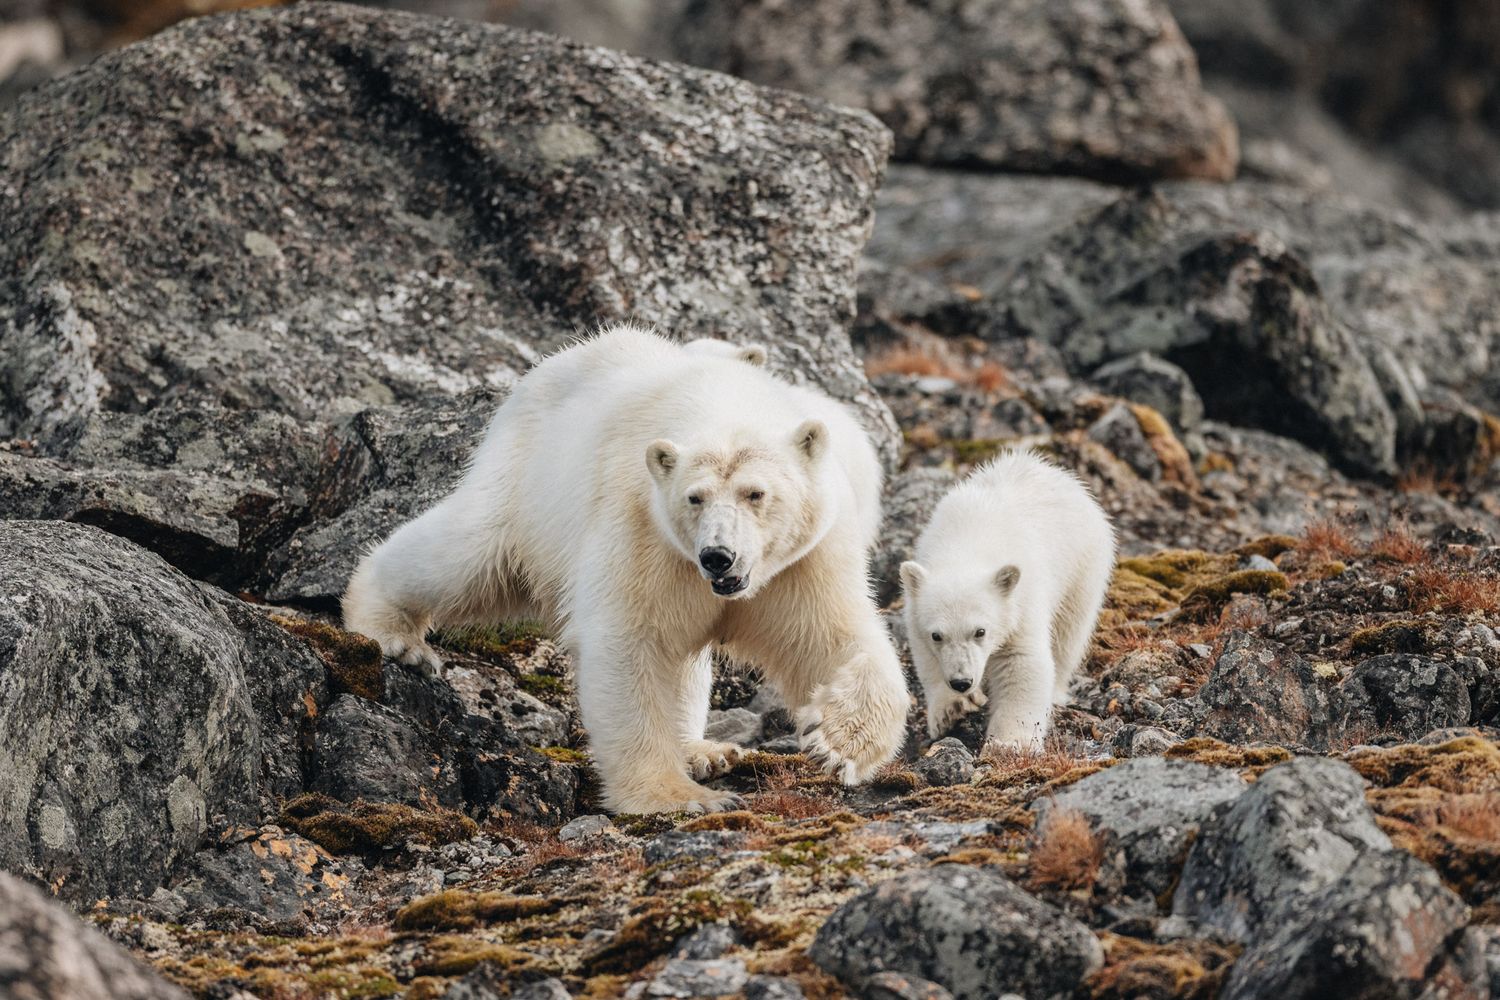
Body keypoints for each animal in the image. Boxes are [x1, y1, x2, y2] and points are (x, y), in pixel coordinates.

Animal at [342, 323, 910, 813]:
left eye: (756, 493)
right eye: (694, 497)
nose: (717, 556)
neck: (717, 397)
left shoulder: (804, 559)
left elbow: (832, 636)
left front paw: (835, 744)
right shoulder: (642, 528)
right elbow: (629, 643)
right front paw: (678, 796)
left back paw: (704, 751)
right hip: (526, 484)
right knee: (468, 554)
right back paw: (392, 632)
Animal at [899, 449, 1115, 751]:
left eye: (980, 631)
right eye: (937, 635)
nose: (962, 682)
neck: (968, 543)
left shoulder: (1021, 601)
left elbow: (1023, 662)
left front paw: (1010, 742)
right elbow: (926, 657)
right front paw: (950, 710)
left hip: (1082, 568)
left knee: (1068, 635)